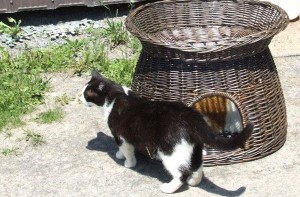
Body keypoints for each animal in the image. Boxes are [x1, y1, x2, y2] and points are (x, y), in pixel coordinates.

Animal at [80, 71, 253, 194]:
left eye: (86, 94)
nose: (78, 98)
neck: (116, 95)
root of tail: (190, 116)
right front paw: (120, 155)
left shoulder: (121, 135)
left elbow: (127, 150)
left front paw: (127, 162)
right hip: (194, 148)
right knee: (197, 166)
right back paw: (194, 181)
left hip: (170, 152)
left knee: (181, 173)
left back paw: (169, 188)